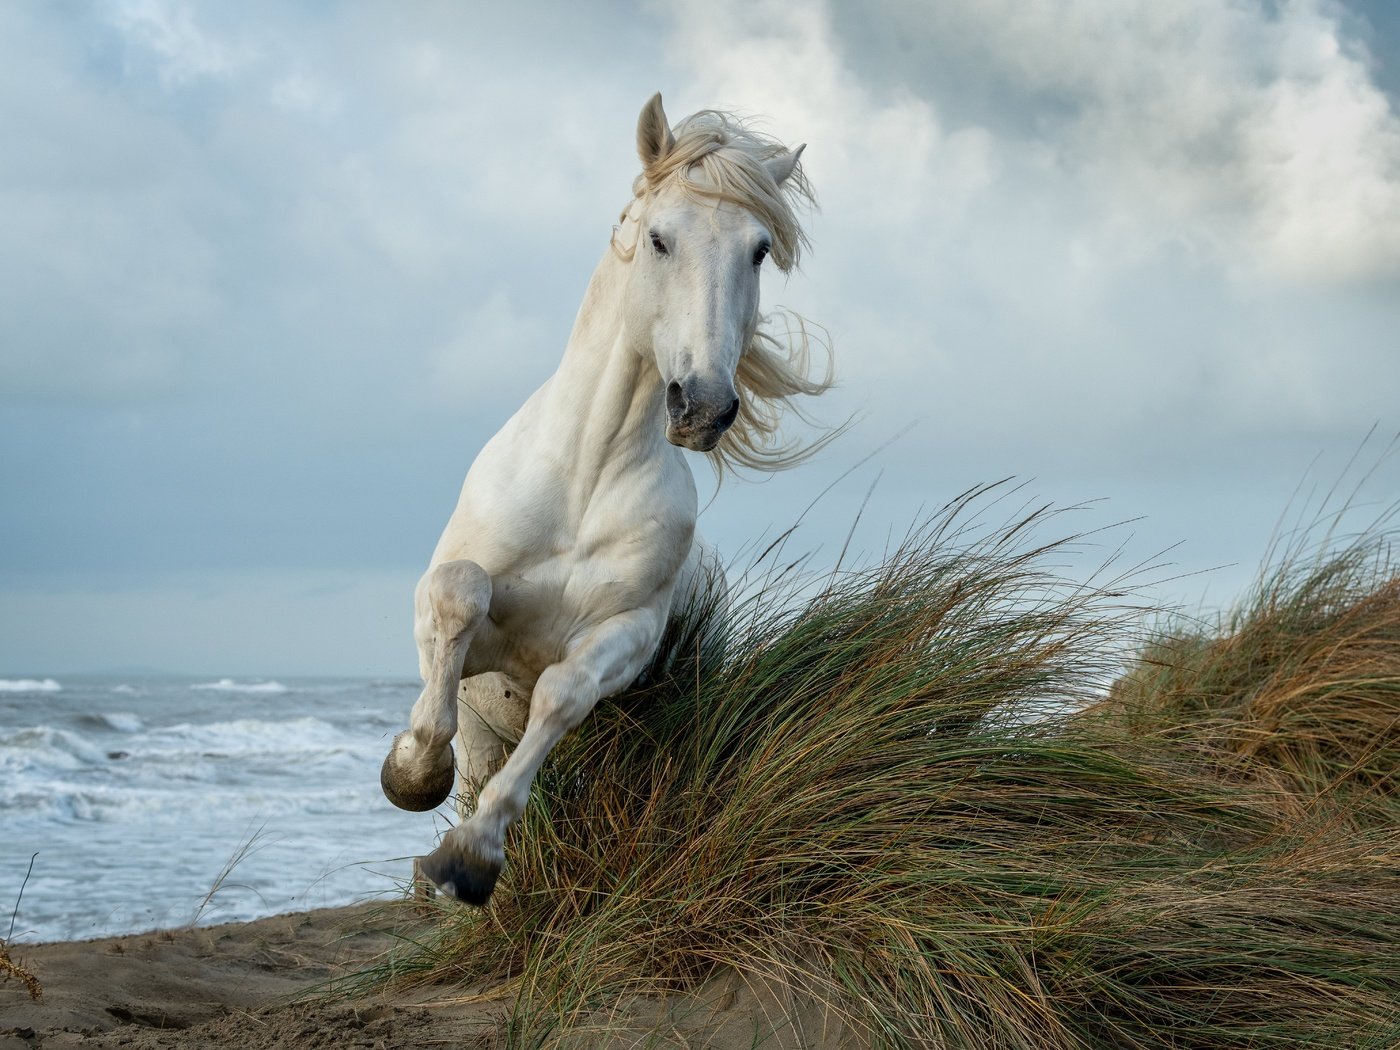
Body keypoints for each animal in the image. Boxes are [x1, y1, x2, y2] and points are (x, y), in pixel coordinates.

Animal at [380, 94, 828, 907]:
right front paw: (412, 774)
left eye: (756, 250)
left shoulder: (624, 636)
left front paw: (471, 858)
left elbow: (562, 690)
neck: (583, 480)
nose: (703, 406)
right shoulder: (467, 628)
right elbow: (461, 595)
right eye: (658, 238)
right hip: (487, 729)